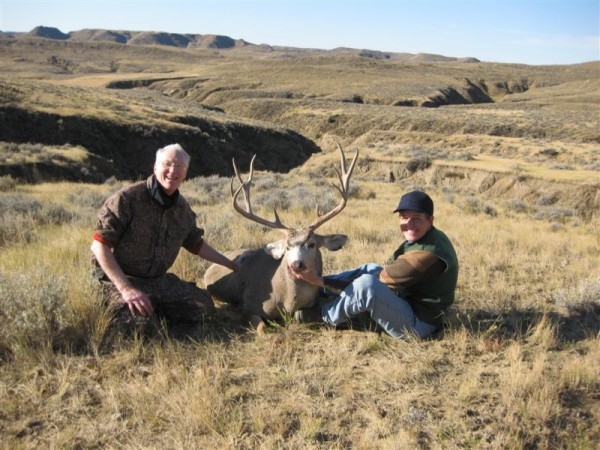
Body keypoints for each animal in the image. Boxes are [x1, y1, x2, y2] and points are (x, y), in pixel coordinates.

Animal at [204, 145, 358, 334]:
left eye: (312, 244)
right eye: (287, 247)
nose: (297, 264)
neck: (287, 301)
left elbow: (300, 316)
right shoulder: (247, 305)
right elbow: (262, 328)